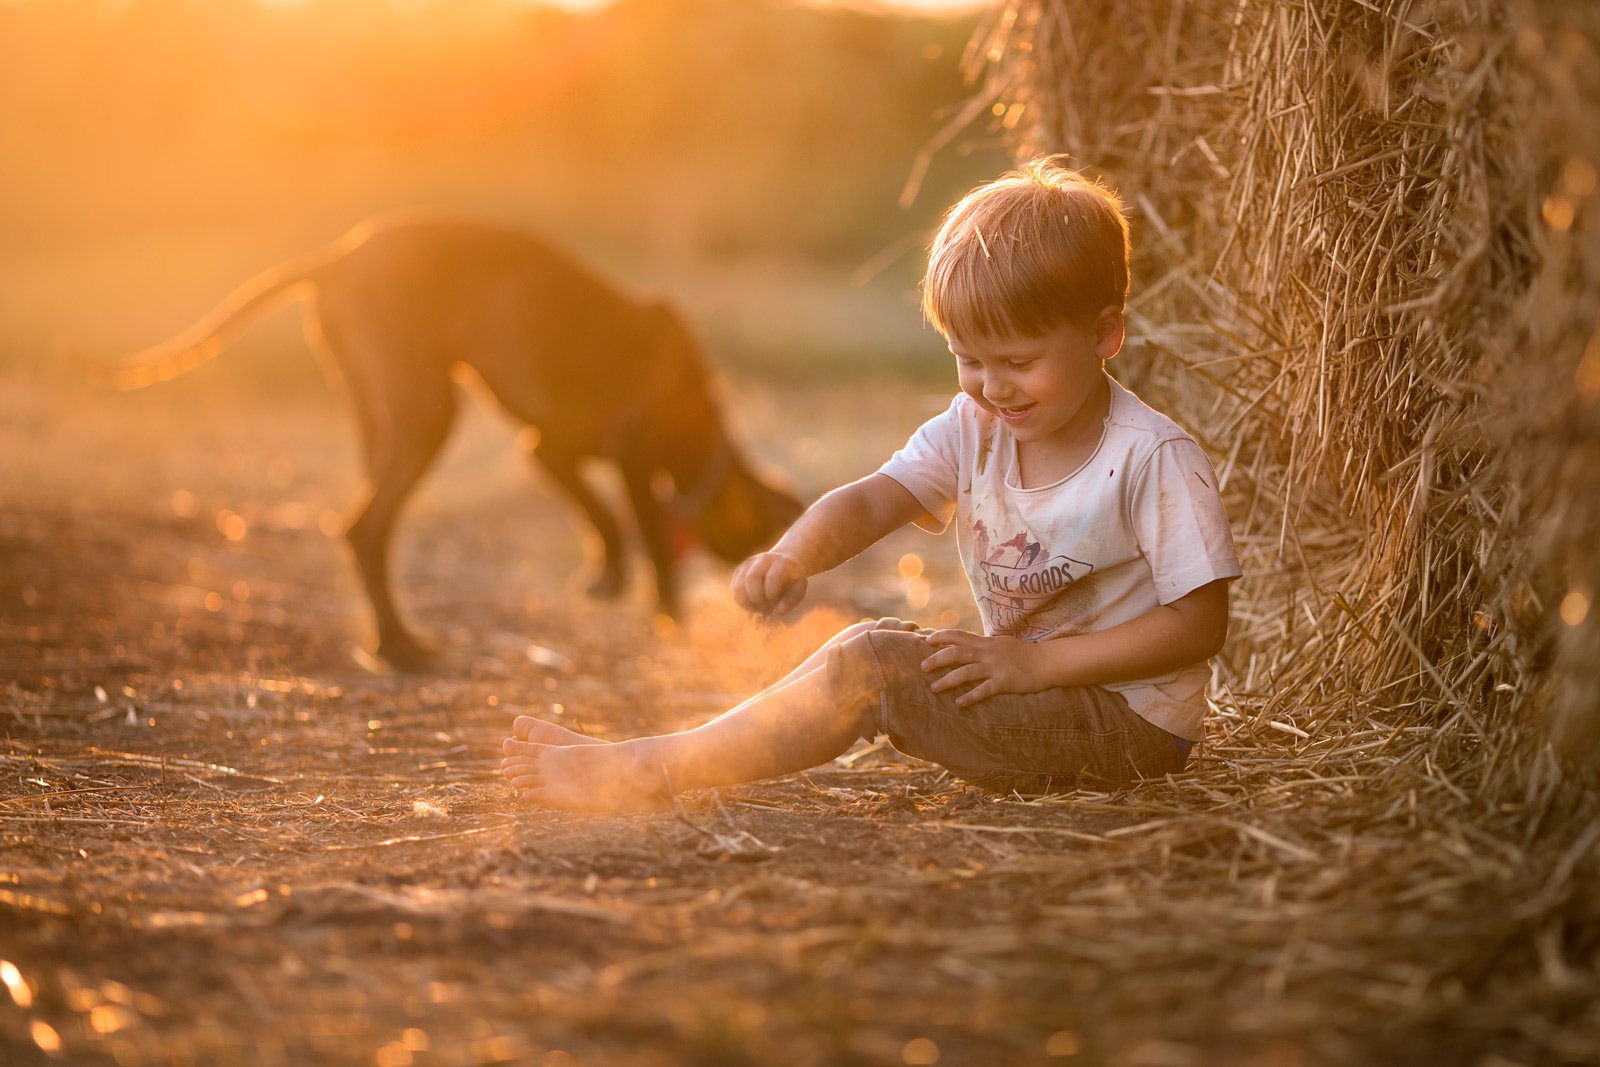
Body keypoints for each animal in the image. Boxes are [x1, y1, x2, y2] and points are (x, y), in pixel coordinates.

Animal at [93, 212, 806, 671]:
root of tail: (340, 256)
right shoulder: (626, 459)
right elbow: (648, 534)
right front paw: (666, 614)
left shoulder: (545, 448)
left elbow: (597, 516)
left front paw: (605, 577)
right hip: (429, 416)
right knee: (364, 526)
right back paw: (402, 649)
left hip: (383, 416)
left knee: (365, 528)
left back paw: (387, 641)